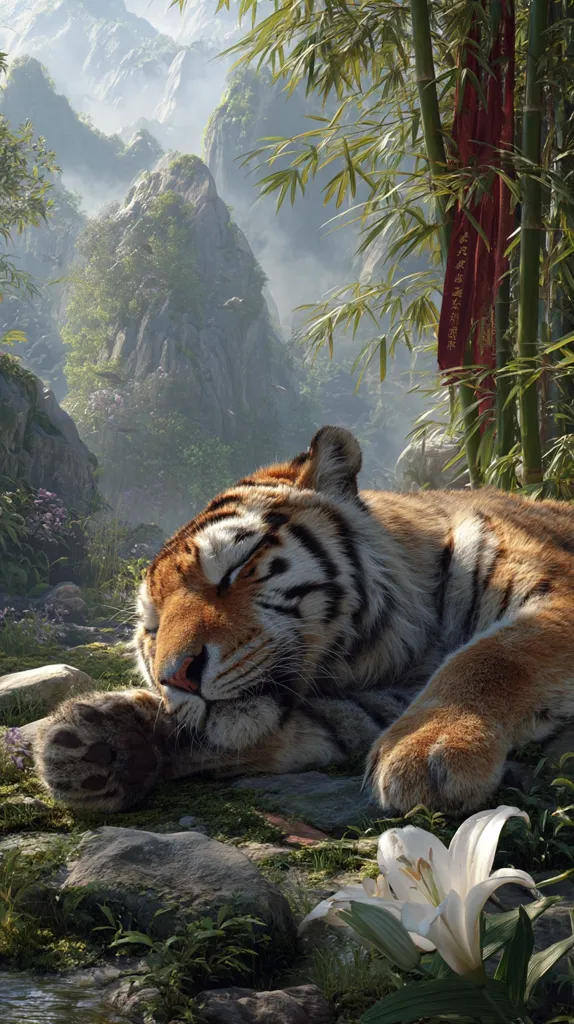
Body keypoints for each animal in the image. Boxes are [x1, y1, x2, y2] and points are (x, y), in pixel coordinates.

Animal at [35, 425, 574, 816]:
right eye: (152, 626)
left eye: (234, 569)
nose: (178, 678)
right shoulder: (379, 697)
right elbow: (314, 725)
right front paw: (103, 744)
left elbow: (494, 655)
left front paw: (432, 748)